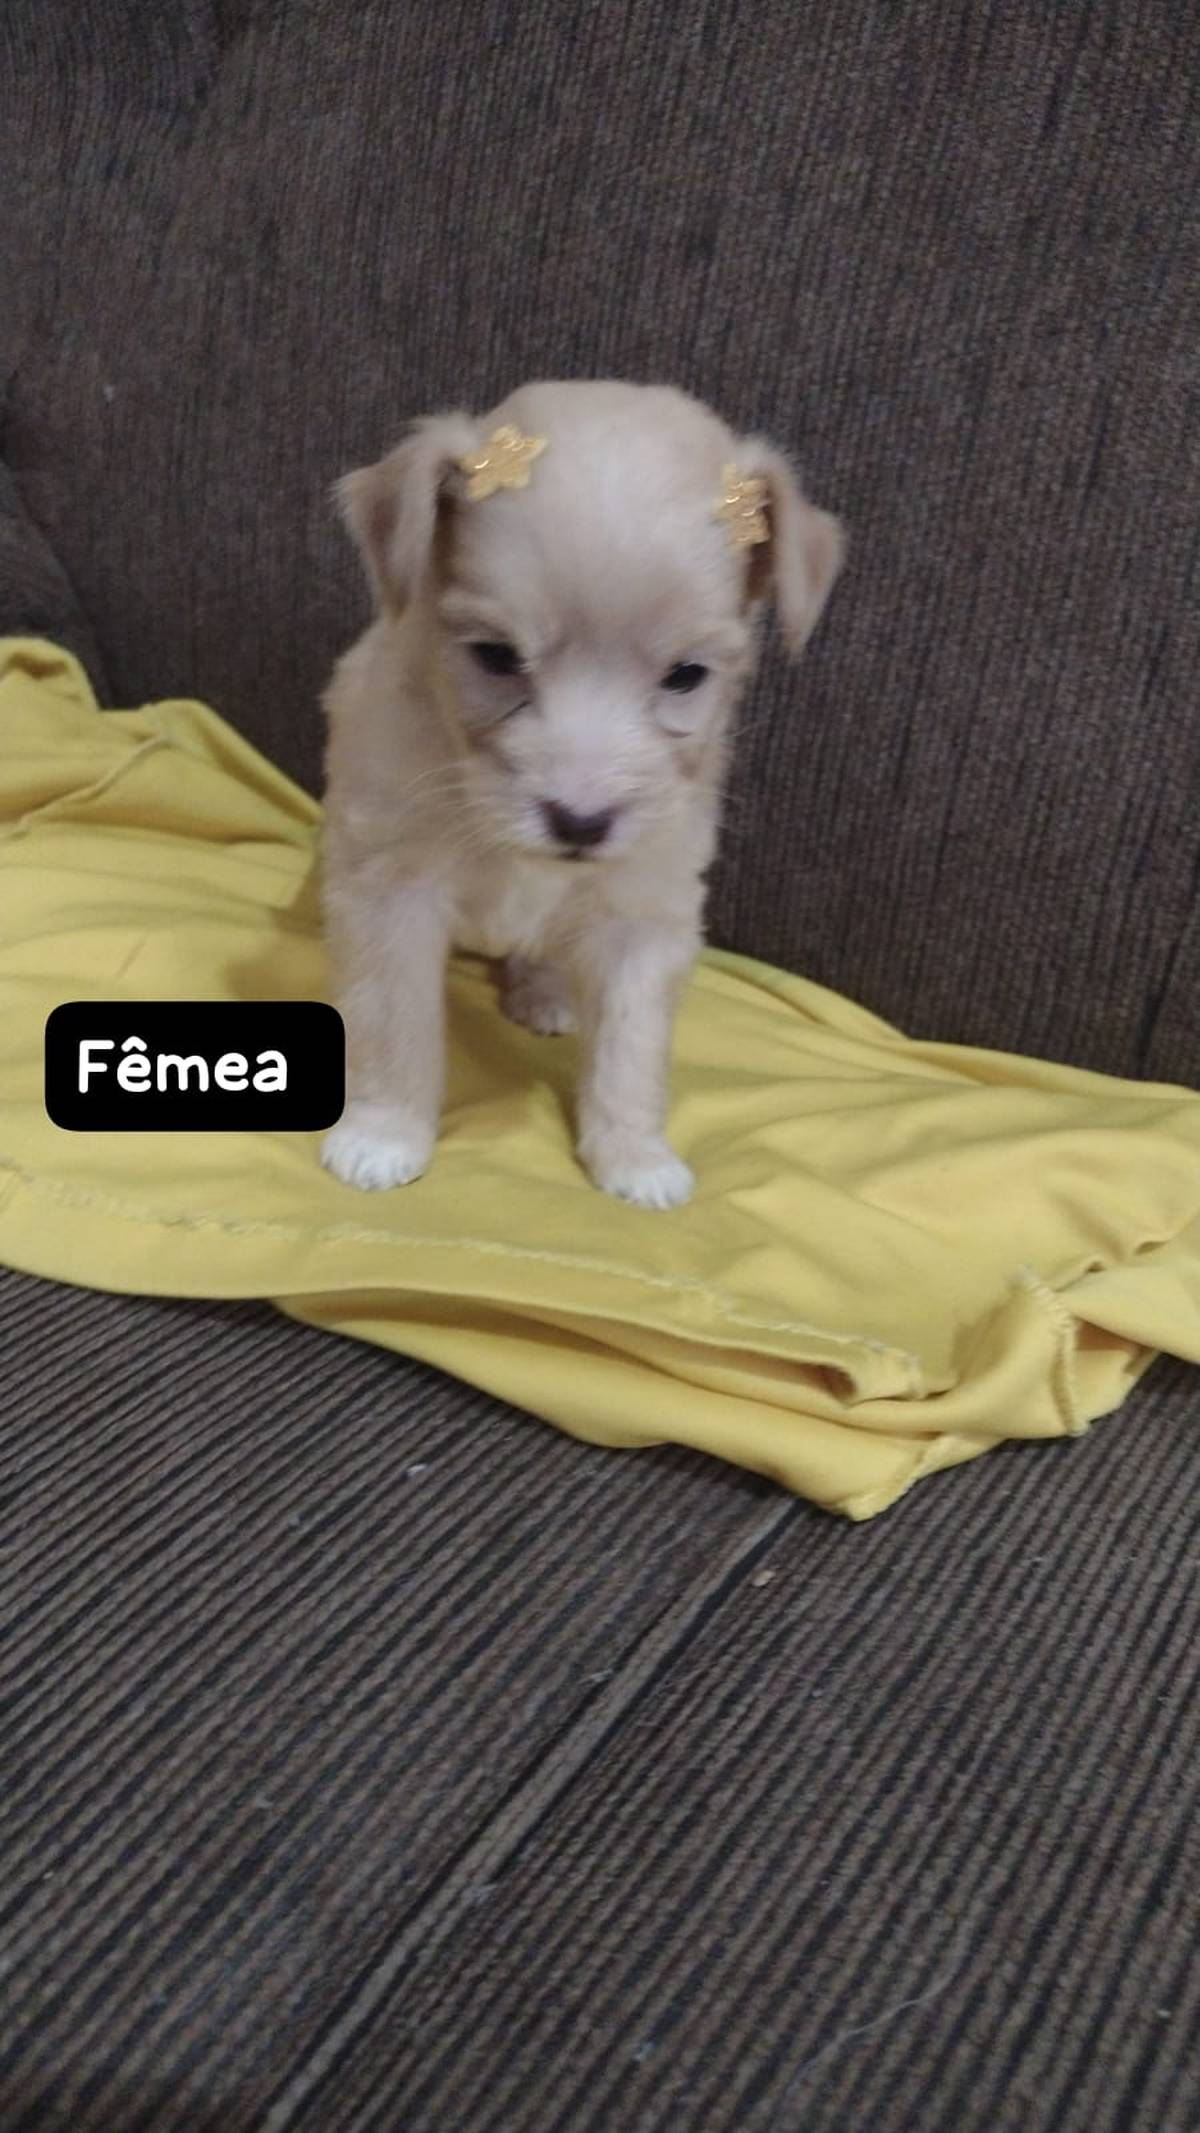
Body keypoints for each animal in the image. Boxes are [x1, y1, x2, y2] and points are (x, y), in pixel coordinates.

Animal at [319, 378, 842, 1209]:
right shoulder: (390, 895)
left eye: (686, 675)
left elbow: (631, 1048)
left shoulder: (644, 914)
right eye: (496, 656)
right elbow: (394, 1026)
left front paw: (634, 1156)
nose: (581, 820)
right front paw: (385, 1133)